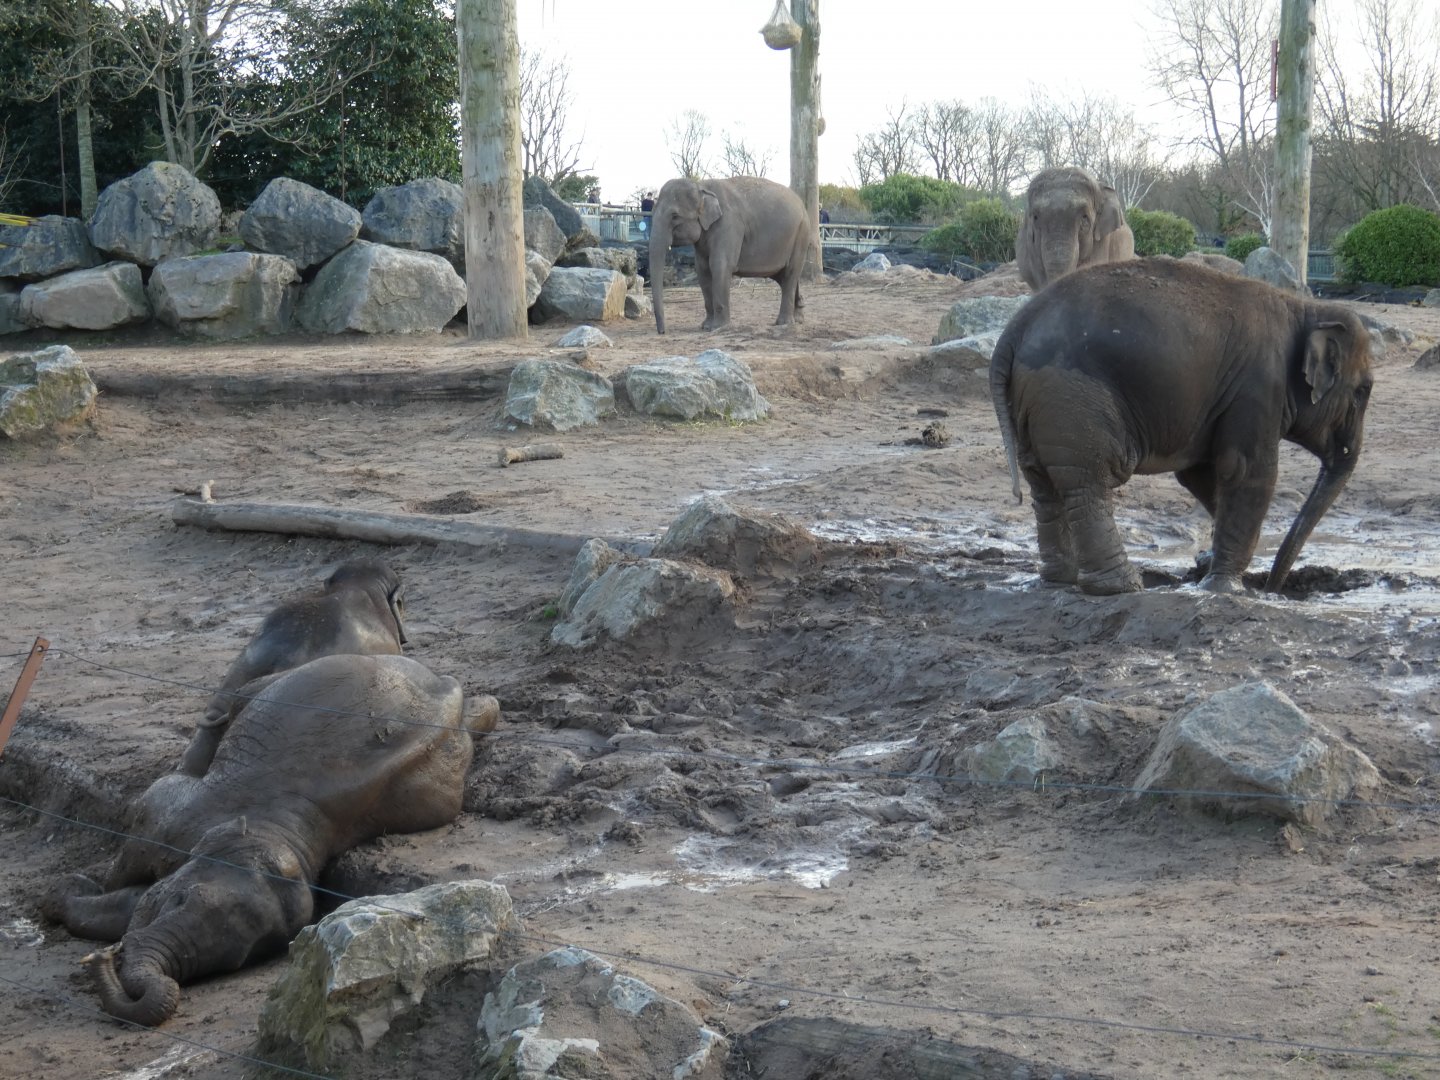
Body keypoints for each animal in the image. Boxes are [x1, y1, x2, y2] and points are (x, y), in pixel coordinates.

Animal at [42, 653, 500, 1027]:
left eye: (237, 960)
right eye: (179, 901)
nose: (101, 959)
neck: (283, 830)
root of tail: (443, 684)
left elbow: (130, 903)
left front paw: (68, 891)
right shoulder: (174, 818)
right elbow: (131, 862)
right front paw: (74, 887)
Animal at [649, 176, 814, 334]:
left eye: (674, 216)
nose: (662, 332)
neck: (701, 186)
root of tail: (802, 204)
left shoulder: (729, 224)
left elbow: (720, 266)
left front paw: (718, 328)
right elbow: (703, 270)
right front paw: (705, 326)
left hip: (801, 234)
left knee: (790, 273)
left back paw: (784, 323)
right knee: (784, 277)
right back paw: (799, 318)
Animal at [990, 257, 1374, 596]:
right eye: (1364, 391)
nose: (1273, 589)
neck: (1306, 309)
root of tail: (1015, 328)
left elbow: (1199, 474)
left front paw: (1208, 565)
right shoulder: (1260, 386)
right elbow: (1246, 470)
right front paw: (1226, 589)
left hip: (1032, 404)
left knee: (1044, 485)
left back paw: (1060, 582)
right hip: (1070, 396)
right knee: (1090, 479)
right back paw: (1121, 587)